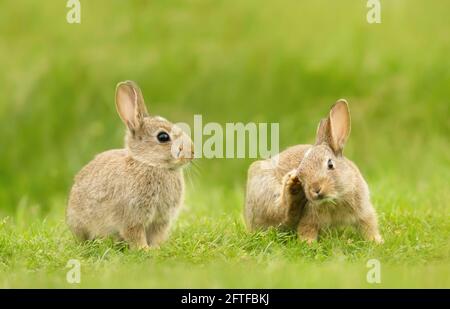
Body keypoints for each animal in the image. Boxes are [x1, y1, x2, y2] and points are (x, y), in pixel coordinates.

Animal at [67, 80, 193, 249]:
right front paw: (144, 249)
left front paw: (157, 248)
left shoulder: (161, 220)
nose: (192, 152)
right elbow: (135, 234)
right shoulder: (131, 217)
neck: (149, 163)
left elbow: (157, 235)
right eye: (163, 137)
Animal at [243, 100, 384, 244]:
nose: (315, 190)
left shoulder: (364, 211)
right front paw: (309, 244)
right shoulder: (309, 218)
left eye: (330, 164)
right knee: (282, 215)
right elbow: (306, 229)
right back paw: (292, 189)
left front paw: (377, 241)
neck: (335, 199)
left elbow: (368, 225)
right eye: (301, 174)